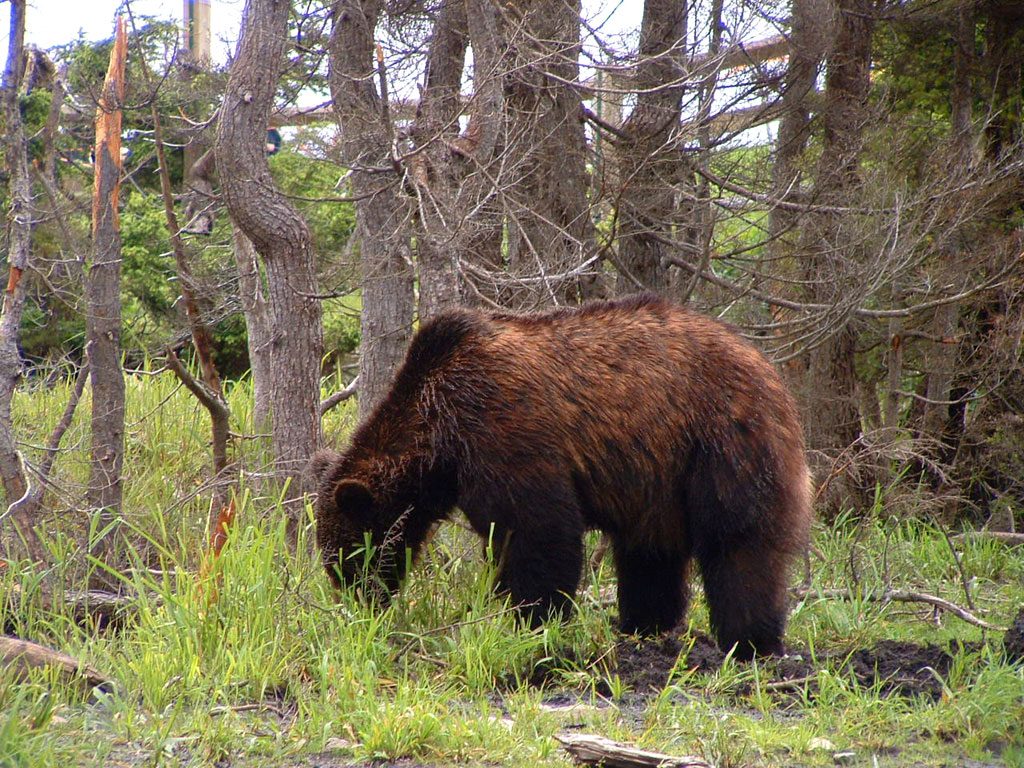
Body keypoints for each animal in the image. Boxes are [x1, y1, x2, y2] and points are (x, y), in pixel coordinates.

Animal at [310, 294, 813, 658]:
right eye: (334, 560)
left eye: (349, 557)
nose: (359, 604)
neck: (440, 443)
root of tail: (764, 362)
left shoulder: (503, 431)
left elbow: (537, 531)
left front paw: (532, 619)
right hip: (658, 476)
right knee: (649, 552)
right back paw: (643, 627)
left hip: (720, 438)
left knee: (739, 541)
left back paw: (750, 640)